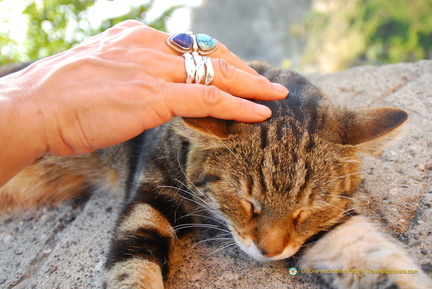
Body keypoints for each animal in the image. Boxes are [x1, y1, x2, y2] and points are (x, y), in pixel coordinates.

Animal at [1, 62, 430, 286]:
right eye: (247, 203)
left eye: (305, 212)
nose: (269, 252)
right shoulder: (151, 196)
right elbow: (132, 267)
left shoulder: (332, 225)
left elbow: (375, 255)